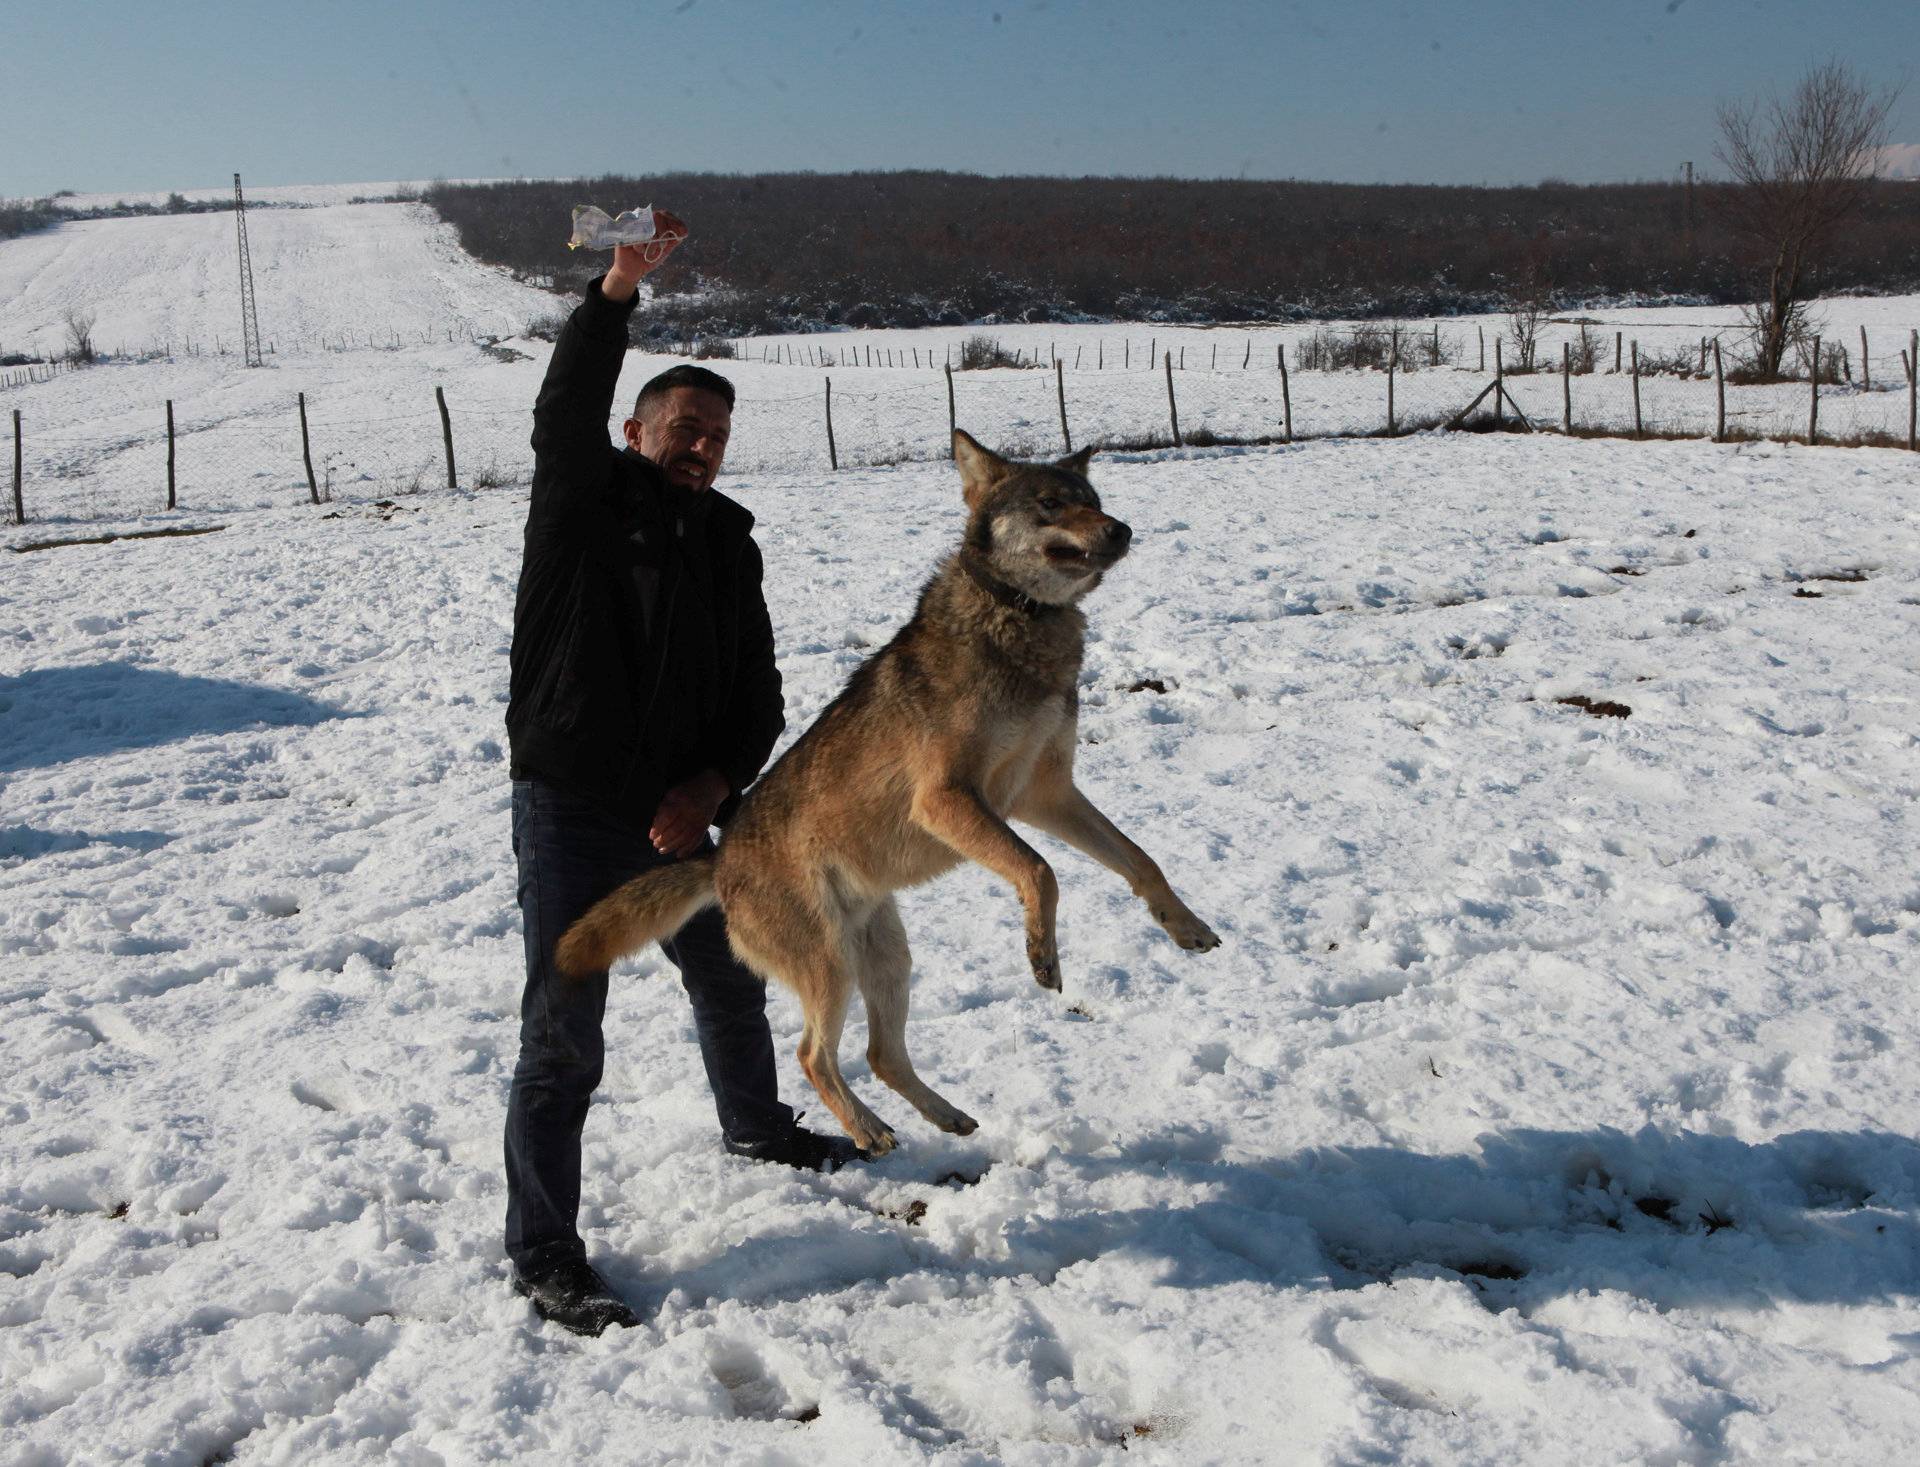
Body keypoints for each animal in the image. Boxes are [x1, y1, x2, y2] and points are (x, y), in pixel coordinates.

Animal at [556, 430, 1213, 1152]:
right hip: (831, 964)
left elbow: (1140, 859)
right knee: (813, 1055)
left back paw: (947, 1116)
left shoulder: (1047, 794)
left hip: (889, 959)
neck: (1024, 621)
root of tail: (718, 861)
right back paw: (870, 1131)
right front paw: (1042, 955)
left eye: (1093, 499)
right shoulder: (948, 799)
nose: (1122, 530)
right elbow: (1041, 871)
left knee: (880, 1054)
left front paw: (1185, 925)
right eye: (1050, 503)